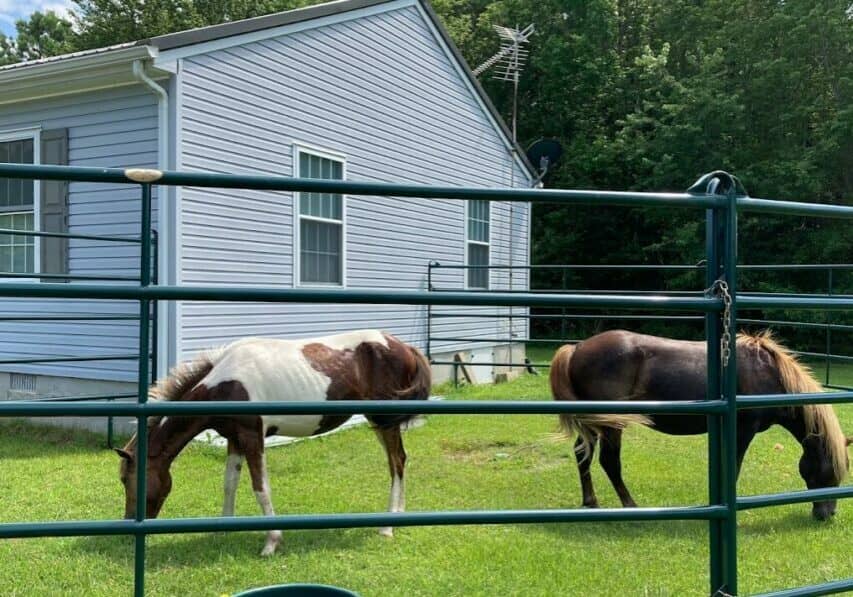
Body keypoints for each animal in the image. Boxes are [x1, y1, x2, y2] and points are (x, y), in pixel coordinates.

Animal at [114, 330, 431, 556]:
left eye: (127, 480)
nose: (129, 525)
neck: (226, 382)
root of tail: (405, 347)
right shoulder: (234, 439)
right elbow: (229, 483)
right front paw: (222, 530)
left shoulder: (252, 436)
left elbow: (260, 487)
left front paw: (271, 542)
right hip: (379, 422)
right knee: (398, 461)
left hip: (384, 421)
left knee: (396, 461)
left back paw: (387, 527)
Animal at [550, 330, 851, 520]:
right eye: (831, 470)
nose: (827, 514)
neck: (768, 374)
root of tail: (576, 348)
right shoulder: (743, 431)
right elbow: (734, 467)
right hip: (612, 424)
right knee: (610, 462)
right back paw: (630, 505)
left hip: (593, 423)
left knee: (582, 453)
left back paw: (591, 502)